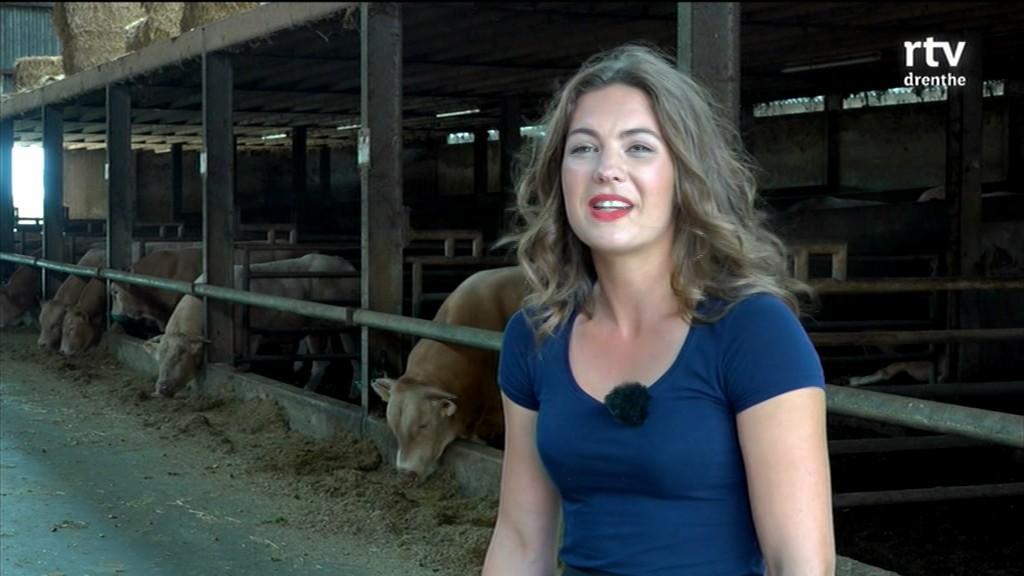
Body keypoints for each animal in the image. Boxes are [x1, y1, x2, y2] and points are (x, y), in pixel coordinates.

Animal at [142, 253, 359, 398]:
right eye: (159, 358)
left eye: (180, 356)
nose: (160, 388)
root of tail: (347, 265)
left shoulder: (251, 337)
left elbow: (243, 365)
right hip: (315, 328)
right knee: (323, 359)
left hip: (345, 322)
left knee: (351, 354)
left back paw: (348, 394)